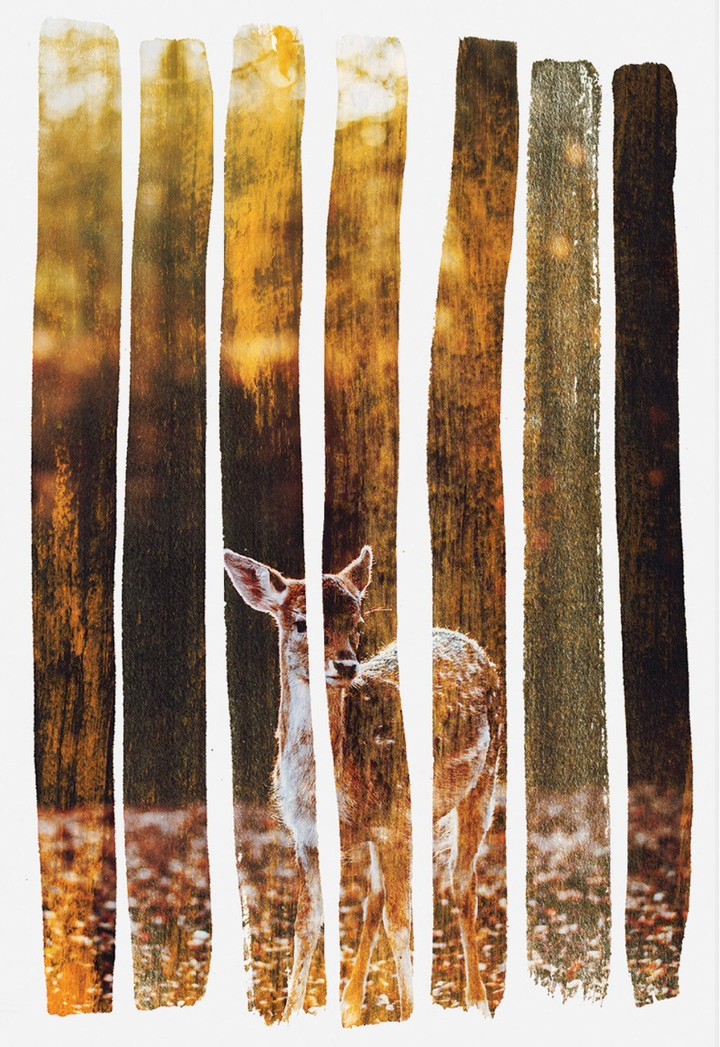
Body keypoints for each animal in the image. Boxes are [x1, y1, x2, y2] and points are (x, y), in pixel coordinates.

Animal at [223, 544, 503, 1025]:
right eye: (301, 621)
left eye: (357, 623)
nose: (346, 664)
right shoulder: (307, 838)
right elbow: (306, 925)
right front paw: (288, 1017)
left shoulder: (397, 822)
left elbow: (400, 923)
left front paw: (411, 1014)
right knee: (375, 898)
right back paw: (351, 1006)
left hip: (482, 783)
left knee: (461, 886)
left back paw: (479, 1002)